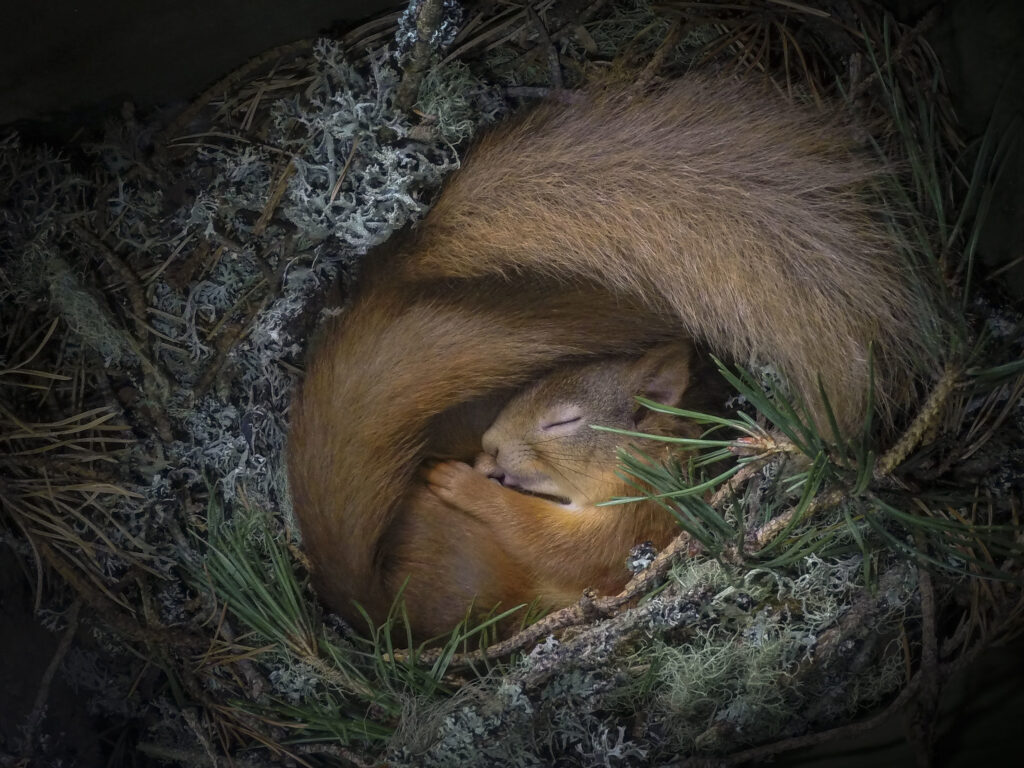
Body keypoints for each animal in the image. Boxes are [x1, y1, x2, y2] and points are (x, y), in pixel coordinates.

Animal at [287, 76, 944, 640]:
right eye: (525, 390)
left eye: (565, 421)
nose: (491, 446)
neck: (646, 461)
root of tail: (374, 610)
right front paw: (477, 469)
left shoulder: (635, 521)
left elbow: (557, 545)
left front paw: (464, 482)